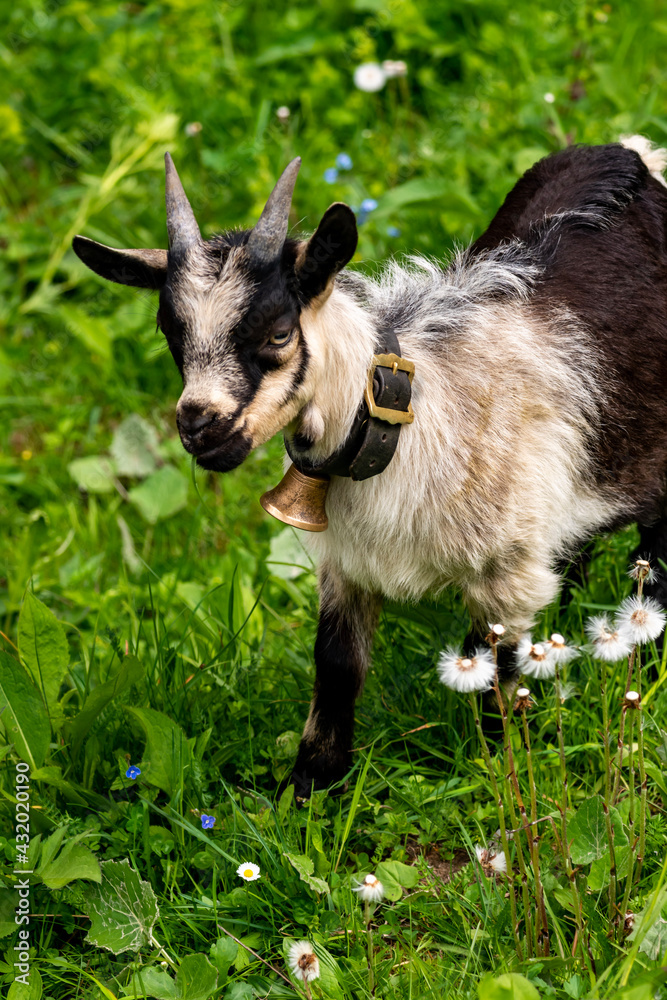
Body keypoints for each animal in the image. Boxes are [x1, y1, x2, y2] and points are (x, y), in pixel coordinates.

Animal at [72, 135, 667, 797]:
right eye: (170, 334)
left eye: (279, 333)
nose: (200, 427)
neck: (407, 423)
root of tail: (632, 152)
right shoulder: (347, 561)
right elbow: (336, 664)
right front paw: (309, 788)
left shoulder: (507, 570)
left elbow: (493, 670)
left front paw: (501, 776)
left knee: (654, 564)